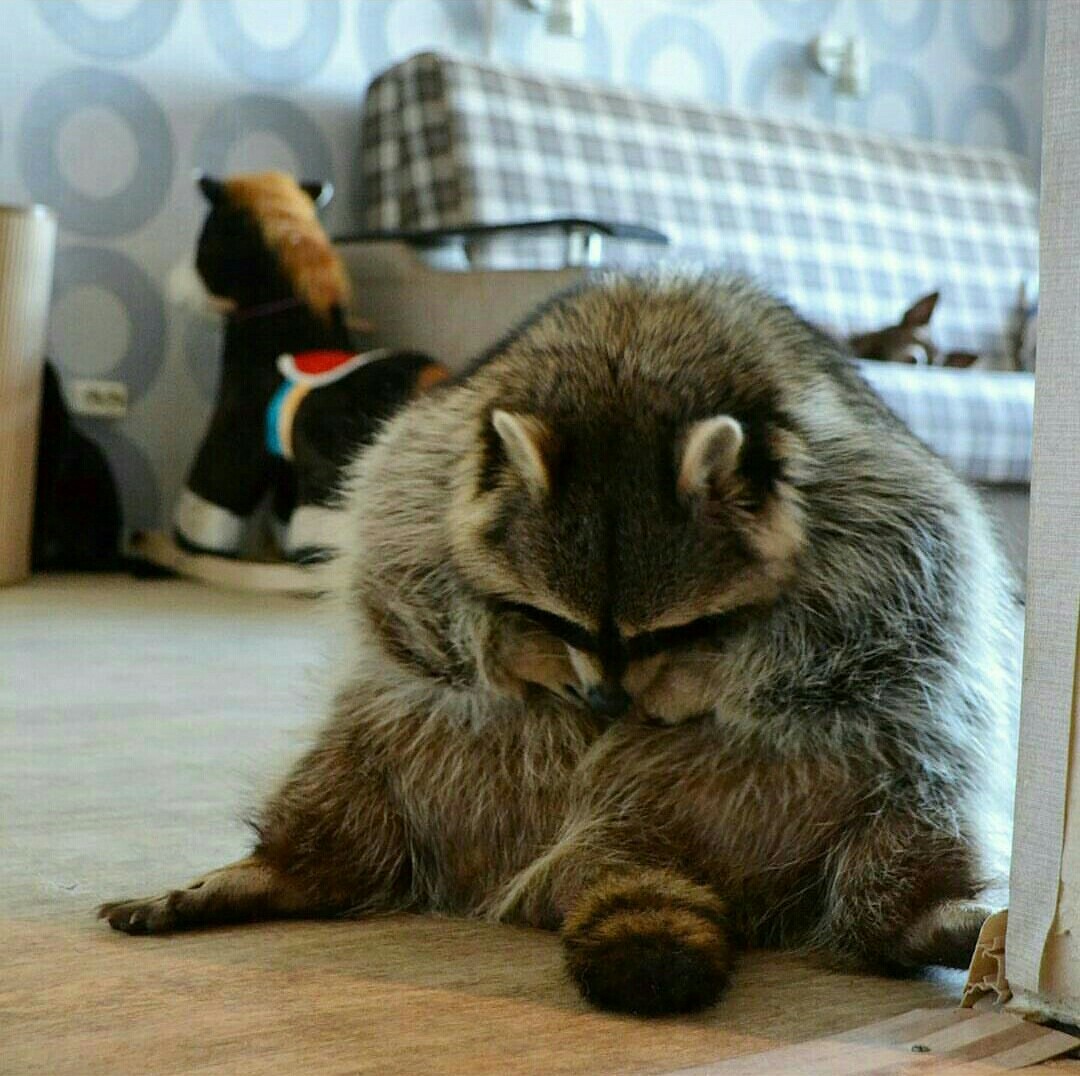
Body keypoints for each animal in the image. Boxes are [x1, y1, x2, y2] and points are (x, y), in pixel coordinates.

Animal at [97, 275, 1015, 1015]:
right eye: (562, 623)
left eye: (675, 630)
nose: (606, 700)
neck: (628, 366)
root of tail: (631, 843)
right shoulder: (432, 459)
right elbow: (405, 565)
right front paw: (509, 650)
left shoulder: (862, 495)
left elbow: (891, 583)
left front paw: (708, 679)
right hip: (422, 749)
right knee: (352, 777)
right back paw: (283, 869)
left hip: (862, 766)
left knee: (911, 806)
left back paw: (922, 916)